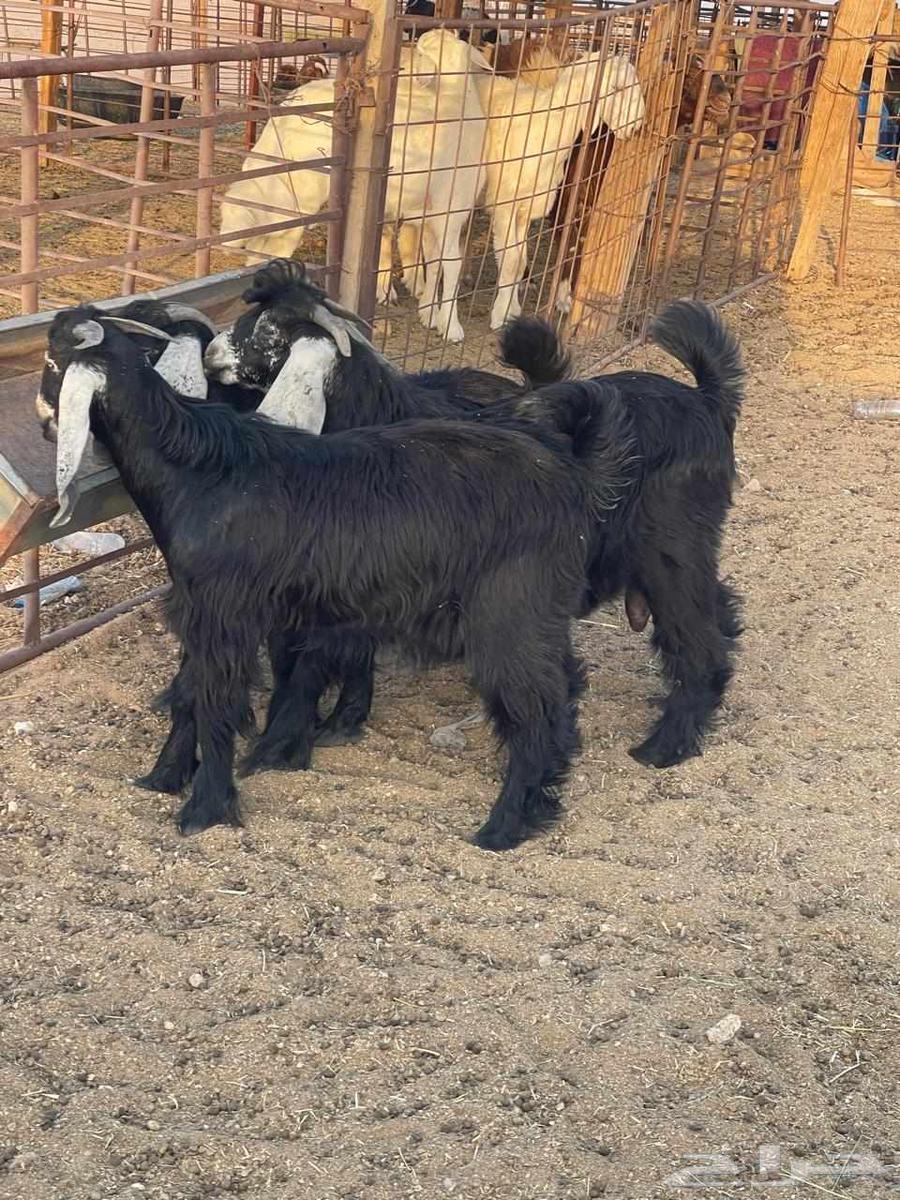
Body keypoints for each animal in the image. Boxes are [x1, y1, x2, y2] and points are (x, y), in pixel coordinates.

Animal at [47, 305, 629, 849]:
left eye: (53, 360)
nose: (45, 422)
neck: (198, 473)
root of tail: (572, 477)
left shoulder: (222, 613)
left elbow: (215, 702)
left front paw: (205, 808)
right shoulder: (205, 611)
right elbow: (192, 693)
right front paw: (165, 777)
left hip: (508, 615)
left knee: (533, 712)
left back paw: (503, 826)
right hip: (537, 615)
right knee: (560, 696)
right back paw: (544, 800)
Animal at [206, 260, 744, 770]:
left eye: (271, 331)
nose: (212, 355)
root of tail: (706, 400)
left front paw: (330, 725)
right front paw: (341, 720)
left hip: (671, 553)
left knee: (698, 643)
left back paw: (666, 744)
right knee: (719, 612)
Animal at [218, 29, 489, 342]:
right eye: (421, 50)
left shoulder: (433, 210)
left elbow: (434, 262)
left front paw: (430, 313)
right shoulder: (452, 205)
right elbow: (450, 262)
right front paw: (451, 325)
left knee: (261, 248)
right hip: (298, 196)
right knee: (272, 246)